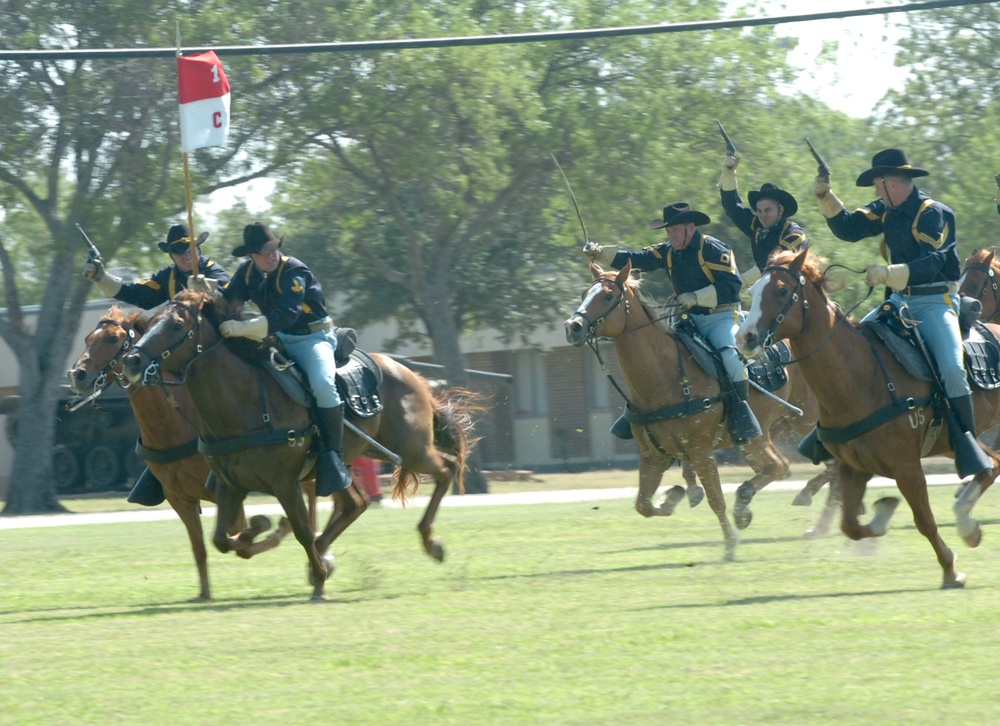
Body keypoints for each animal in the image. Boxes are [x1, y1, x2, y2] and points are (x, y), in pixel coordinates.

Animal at [67, 308, 290, 604]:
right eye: (88, 338)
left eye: (113, 339)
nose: (77, 375)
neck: (175, 424)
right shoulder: (180, 499)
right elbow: (201, 548)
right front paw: (204, 594)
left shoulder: (226, 491)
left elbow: (240, 538)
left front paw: (276, 530)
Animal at [121, 290, 476, 604]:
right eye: (150, 322)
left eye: (177, 325)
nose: (132, 360)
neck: (245, 404)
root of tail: (412, 375)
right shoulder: (228, 484)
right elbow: (221, 539)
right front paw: (260, 531)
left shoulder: (285, 483)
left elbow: (301, 529)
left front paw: (318, 581)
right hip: (355, 458)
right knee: (356, 504)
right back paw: (323, 554)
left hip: (411, 450)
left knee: (447, 468)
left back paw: (429, 542)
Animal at [560, 262, 832, 564]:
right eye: (584, 293)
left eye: (608, 296)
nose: (573, 327)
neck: (665, 377)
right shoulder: (653, 455)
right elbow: (643, 504)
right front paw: (672, 498)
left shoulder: (700, 450)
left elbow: (716, 499)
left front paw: (730, 544)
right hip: (759, 438)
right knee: (785, 468)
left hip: (804, 425)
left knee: (804, 468)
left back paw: (800, 508)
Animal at [736, 247, 1000, 588]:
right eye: (754, 290)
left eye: (781, 291)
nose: (745, 337)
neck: (862, 376)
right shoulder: (853, 467)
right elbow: (850, 524)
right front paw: (883, 513)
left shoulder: (906, 467)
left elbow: (924, 520)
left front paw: (951, 570)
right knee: (991, 465)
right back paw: (969, 525)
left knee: (988, 466)